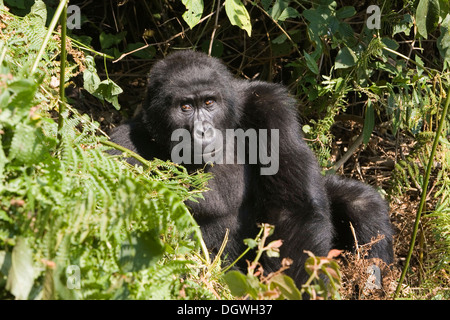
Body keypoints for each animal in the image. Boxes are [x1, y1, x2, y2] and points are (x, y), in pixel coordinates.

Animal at [108, 50, 394, 288]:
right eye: (185, 107)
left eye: (209, 103)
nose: (203, 130)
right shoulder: (123, 148)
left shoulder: (268, 106)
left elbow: (294, 208)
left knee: (361, 203)